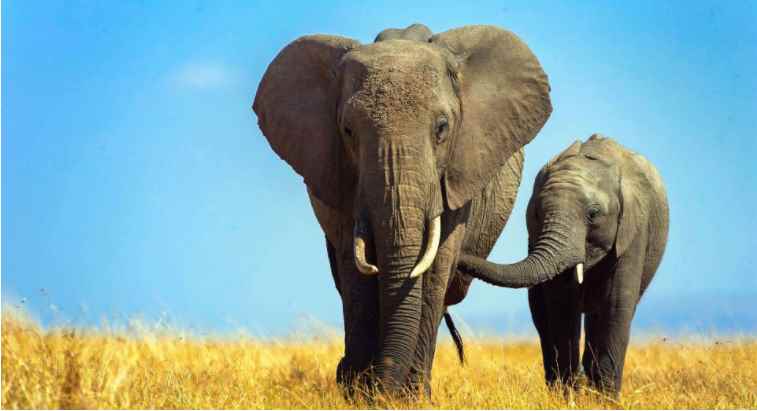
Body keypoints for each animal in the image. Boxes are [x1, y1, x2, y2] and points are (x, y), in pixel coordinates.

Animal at [253, 23, 552, 396]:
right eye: (347, 130)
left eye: (442, 128)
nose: (381, 385)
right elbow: (355, 271)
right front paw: (360, 393)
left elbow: (435, 267)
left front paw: (407, 396)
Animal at [458, 134, 669, 394]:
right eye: (537, 212)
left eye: (593, 214)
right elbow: (562, 303)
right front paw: (569, 393)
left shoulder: (634, 229)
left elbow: (616, 303)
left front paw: (603, 397)